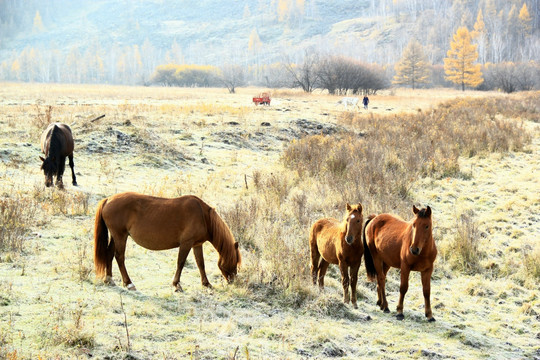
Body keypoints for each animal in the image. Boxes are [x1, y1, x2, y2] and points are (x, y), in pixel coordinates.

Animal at [94, 193, 242, 292]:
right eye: (234, 261)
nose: (233, 281)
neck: (203, 216)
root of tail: (108, 200)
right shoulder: (186, 243)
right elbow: (181, 263)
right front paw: (176, 285)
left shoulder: (196, 244)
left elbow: (201, 264)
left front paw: (206, 283)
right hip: (120, 236)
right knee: (119, 257)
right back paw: (129, 283)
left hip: (116, 237)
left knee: (109, 254)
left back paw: (109, 279)